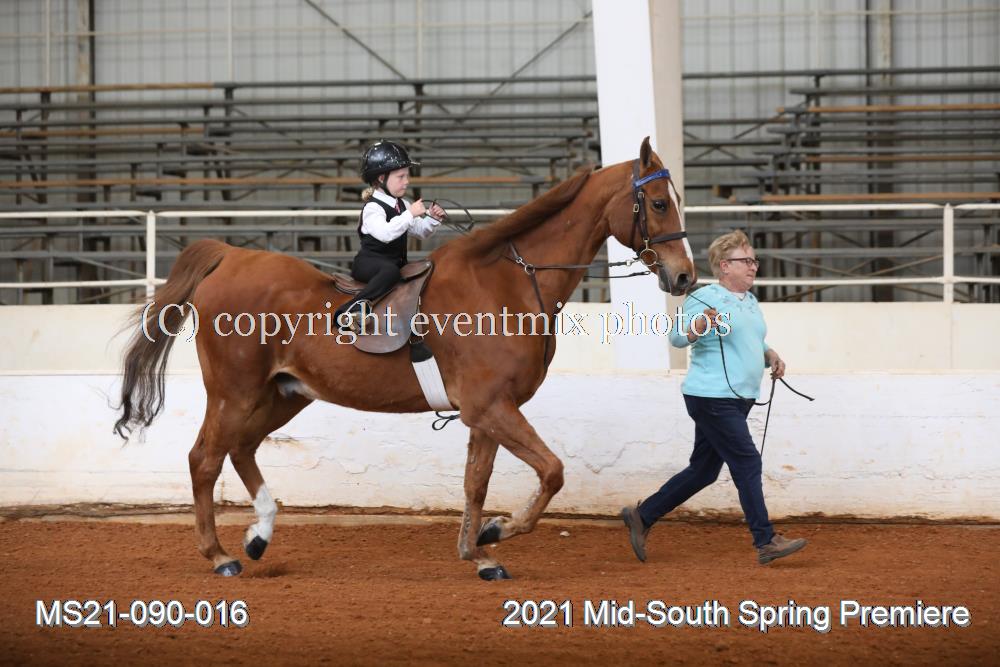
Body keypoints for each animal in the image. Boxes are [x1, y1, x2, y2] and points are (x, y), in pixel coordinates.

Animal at [114, 137, 696, 580]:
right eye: (658, 203)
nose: (684, 275)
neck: (506, 283)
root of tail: (231, 256)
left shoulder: (486, 414)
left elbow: (476, 484)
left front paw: (478, 553)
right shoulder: (491, 408)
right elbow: (551, 472)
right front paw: (498, 530)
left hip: (284, 394)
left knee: (240, 450)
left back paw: (259, 534)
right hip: (233, 393)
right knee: (204, 459)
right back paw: (220, 556)